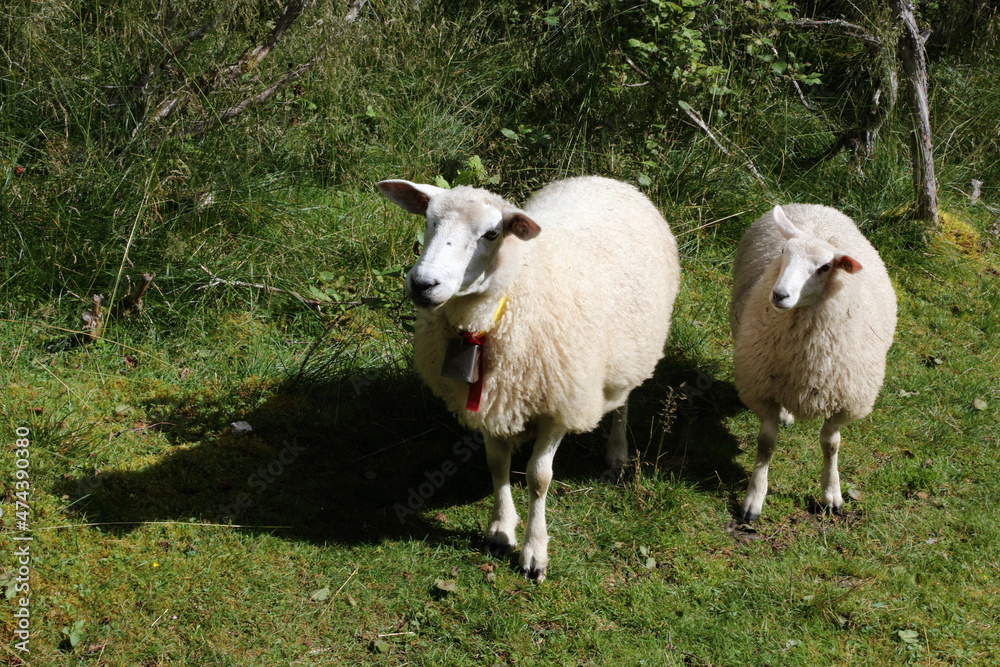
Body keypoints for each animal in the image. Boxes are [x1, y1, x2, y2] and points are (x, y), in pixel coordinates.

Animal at [377, 175, 681, 579]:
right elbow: (496, 463)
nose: (423, 284)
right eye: (428, 220)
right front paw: (500, 529)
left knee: (622, 401)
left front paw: (535, 551)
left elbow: (539, 478)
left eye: (491, 234)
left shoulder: (559, 402)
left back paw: (617, 454)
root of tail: (605, 179)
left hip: (628, 354)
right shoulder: (489, 397)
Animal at [729, 203, 897, 522]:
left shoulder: (845, 401)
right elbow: (766, 444)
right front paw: (753, 499)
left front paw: (832, 494)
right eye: (783, 251)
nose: (779, 295)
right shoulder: (763, 389)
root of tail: (815, 206)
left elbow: (831, 445)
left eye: (824, 268)